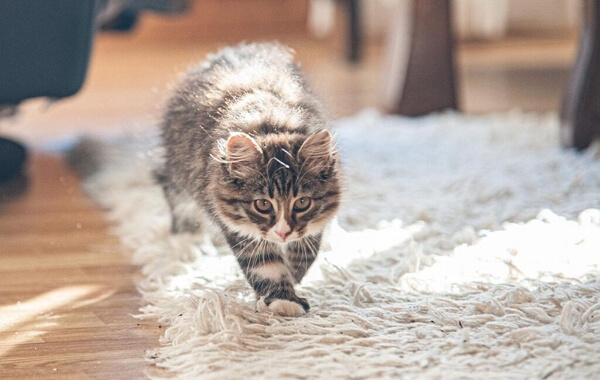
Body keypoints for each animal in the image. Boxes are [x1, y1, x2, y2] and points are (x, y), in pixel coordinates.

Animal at [157, 43, 342, 318]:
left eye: (302, 203)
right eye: (262, 205)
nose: (283, 233)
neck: (272, 125)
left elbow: (307, 249)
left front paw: (295, 274)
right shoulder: (238, 226)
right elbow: (266, 266)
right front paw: (282, 300)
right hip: (178, 164)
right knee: (178, 200)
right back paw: (188, 243)